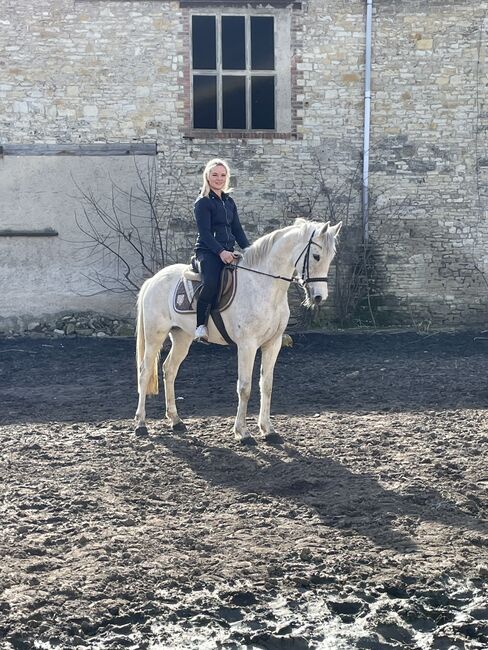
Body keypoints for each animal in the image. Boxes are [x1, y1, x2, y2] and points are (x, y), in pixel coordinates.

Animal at [135, 216, 342, 440]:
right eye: (316, 256)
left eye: (331, 257)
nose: (319, 297)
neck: (263, 284)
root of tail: (153, 280)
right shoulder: (247, 345)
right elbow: (244, 387)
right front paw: (243, 433)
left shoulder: (273, 344)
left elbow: (266, 385)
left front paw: (268, 430)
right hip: (155, 337)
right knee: (145, 372)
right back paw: (141, 425)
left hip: (182, 337)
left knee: (169, 370)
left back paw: (176, 421)